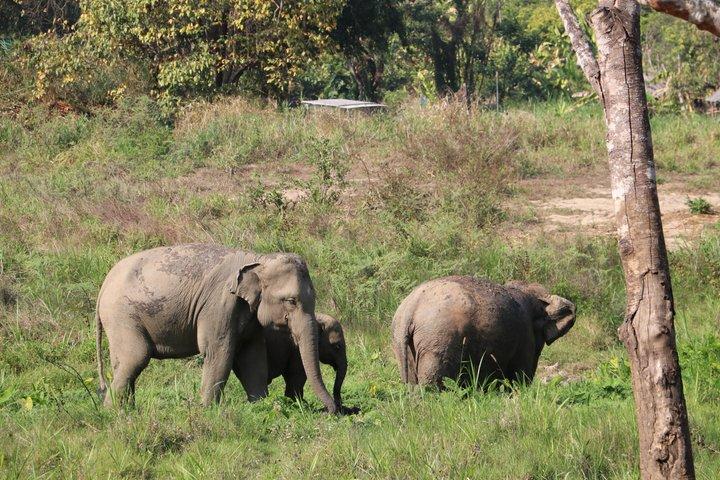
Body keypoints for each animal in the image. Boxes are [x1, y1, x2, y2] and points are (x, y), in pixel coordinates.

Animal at [95, 243, 337, 413]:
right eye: (291, 301)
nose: (333, 410)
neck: (258, 258)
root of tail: (104, 285)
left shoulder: (250, 316)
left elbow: (252, 357)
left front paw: (260, 406)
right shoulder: (218, 306)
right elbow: (218, 351)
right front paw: (208, 410)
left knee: (123, 363)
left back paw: (128, 411)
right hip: (122, 315)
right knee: (136, 357)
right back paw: (113, 413)